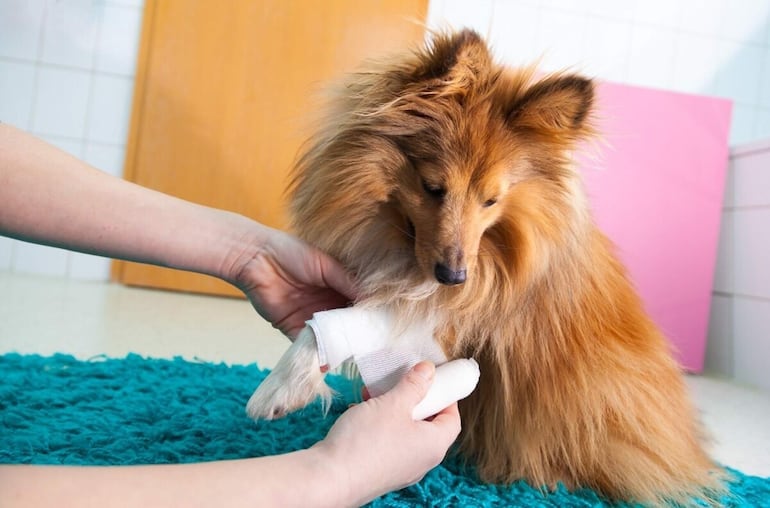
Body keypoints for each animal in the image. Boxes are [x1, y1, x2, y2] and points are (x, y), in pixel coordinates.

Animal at [248, 30, 728, 504]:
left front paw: (279, 387)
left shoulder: (452, 314)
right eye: (433, 187)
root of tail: (690, 449)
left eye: (492, 200)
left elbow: (338, 324)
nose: (454, 277)